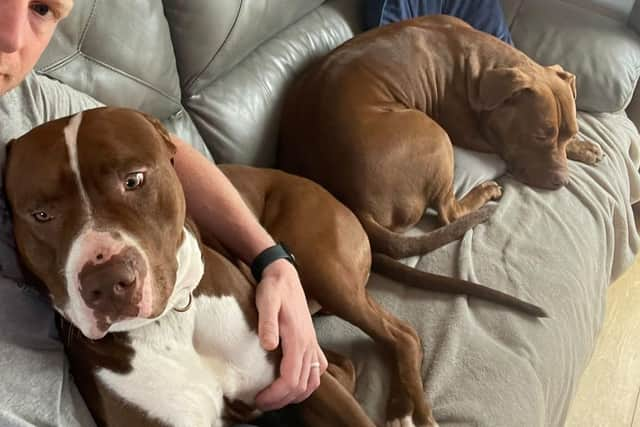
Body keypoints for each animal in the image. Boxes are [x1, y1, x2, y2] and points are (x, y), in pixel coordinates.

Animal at [3, 107, 544, 427]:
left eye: (133, 179)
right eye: (40, 215)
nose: (107, 283)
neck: (173, 325)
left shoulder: (300, 372)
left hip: (320, 262)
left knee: (400, 334)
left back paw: (406, 407)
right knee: (347, 359)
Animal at [278, 15, 604, 260]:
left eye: (569, 133)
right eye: (539, 136)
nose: (562, 181)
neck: (481, 68)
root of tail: (351, 199)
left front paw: (583, 146)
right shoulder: (479, 134)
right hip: (435, 136)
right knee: (448, 212)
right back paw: (486, 191)